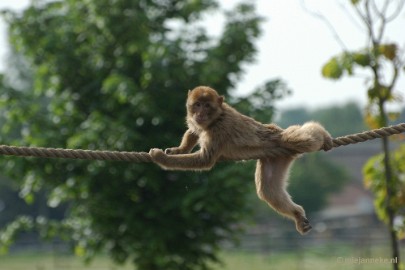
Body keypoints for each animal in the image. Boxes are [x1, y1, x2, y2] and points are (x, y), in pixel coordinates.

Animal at [148, 86, 332, 234]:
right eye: (197, 104)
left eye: (207, 105)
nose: (200, 114)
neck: (216, 117)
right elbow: (193, 131)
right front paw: (178, 150)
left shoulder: (218, 131)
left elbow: (204, 160)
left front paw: (161, 158)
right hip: (275, 158)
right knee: (268, 190)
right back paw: (297, 214)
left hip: (280, 139)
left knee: (301, 139)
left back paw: (322, 134)